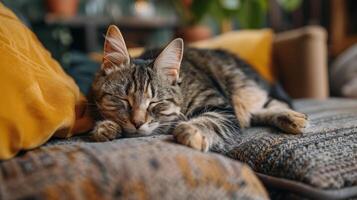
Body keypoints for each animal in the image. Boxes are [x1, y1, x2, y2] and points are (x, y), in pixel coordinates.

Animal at [87, 25, 308, 153]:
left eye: (155, 103)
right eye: (124, 99)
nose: (138, 122)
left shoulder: (220, 107)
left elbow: (208, 121)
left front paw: (189, 130)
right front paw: (106, 127)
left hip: (243, 91)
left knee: (271, 104)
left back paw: (294, 118)